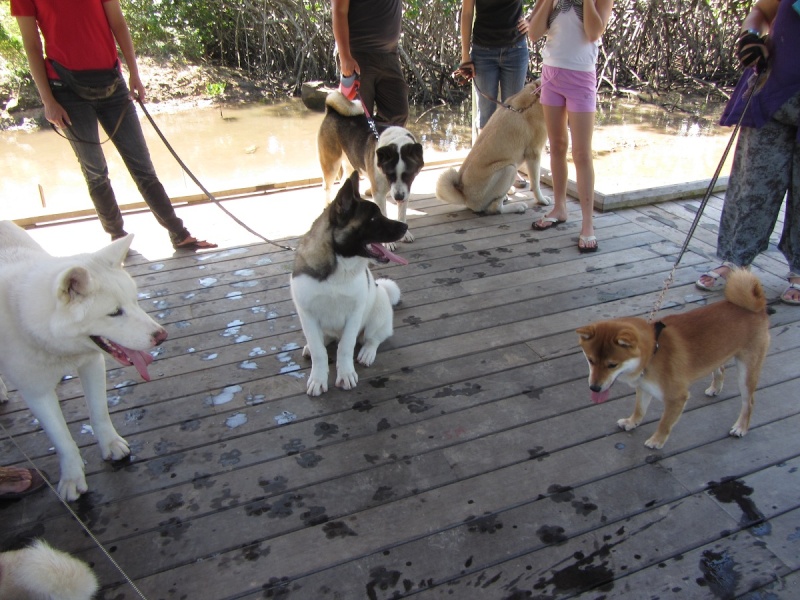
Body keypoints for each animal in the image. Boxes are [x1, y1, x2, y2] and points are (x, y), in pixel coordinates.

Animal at [0, 221, 166, 502]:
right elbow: (61, 438)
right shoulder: (35, 390)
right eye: (114, 313)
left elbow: (99, 412)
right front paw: (71, 477)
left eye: (135, 301)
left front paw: (111, 444)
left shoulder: (92, 364)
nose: (162, 336)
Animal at [290, 172, 410, 398]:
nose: (405, 226)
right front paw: (318, 378)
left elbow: (345, 347)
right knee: (323, 341)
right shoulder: (307, 315)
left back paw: (367, 352)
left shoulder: (354, 315)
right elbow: (319, 352)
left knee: (373, 338)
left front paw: (345, 374)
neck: (339, 266)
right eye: (373, 219)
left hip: (377, 314)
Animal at [318, 89, 424, 248]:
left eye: (408, 175)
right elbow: (384, 214)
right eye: (390, 175)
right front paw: (388, 243)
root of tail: (332, 110)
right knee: (326, 186)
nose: (398, 197)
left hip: (350, 163)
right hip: (332, 164)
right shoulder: (379, 194)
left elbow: (402, 213)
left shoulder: (405, 190)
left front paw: (405, 233)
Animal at [580, 270, 772, 448]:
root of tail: (756, 308)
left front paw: (657, 440)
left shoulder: (677, 398)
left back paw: (741, 427)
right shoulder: (643, 388)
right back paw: (715, 388)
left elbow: (664, 423)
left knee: (749, 402)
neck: (652, 354)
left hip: (747, 371)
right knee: (720, 369)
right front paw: (631, 422)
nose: (594, 388)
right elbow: (639, 409)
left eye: (612, 365)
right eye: (590, 360)